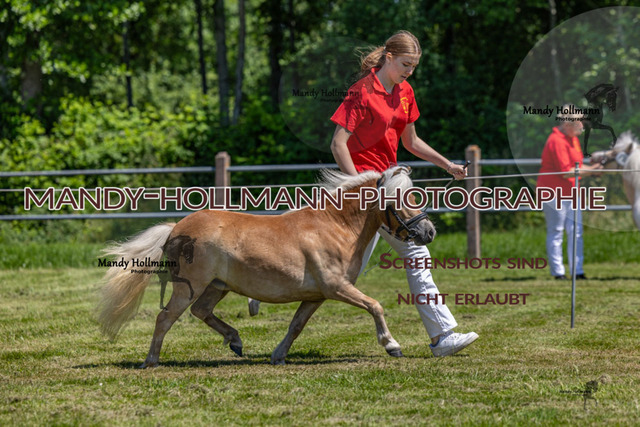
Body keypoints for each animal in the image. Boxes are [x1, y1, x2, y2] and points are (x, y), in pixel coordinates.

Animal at [97, 166, 436, 367]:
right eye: (401, 197)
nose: (429, 232)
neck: (334, 227)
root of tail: (176, 228)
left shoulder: (316, 296)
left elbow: (296, 326)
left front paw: (278, 355)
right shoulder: (336, 287)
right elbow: (375, 305)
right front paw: (392, 345)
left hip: (217, 287)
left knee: (201, 312)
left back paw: (235, 341)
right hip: (189, 287)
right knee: (165, 317)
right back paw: (151, 360)